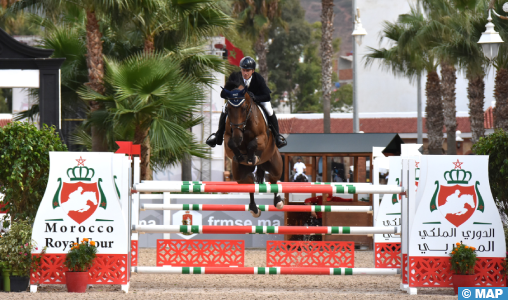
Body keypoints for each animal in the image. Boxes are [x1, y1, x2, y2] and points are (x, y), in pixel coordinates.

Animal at [223, 79, 286, 217]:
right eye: (228, 109)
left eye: (244, 108)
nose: (238, 137)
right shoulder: (227, 137)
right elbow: (231, 144)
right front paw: (240, 156)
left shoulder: (262, 137)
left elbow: (252, 144)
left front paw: (252, 157)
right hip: (239, 175)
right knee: (250, 184)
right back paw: (254, 208)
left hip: (275, 165)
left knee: (273, 180)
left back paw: (278, 201)